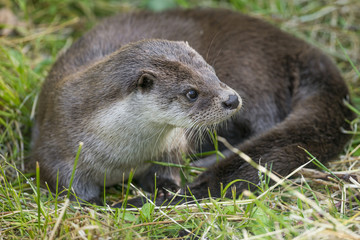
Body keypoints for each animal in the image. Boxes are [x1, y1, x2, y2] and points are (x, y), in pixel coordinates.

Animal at [31, 8, 354, 205]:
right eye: (191, 93)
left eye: (213, 71)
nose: (231, 98)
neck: (122, 158)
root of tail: (298, 46)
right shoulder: (57, 145)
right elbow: (66, 186)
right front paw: (99, 202)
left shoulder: (171, 148)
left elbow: (168, 172)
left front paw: (166, 189)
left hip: (256, 80)